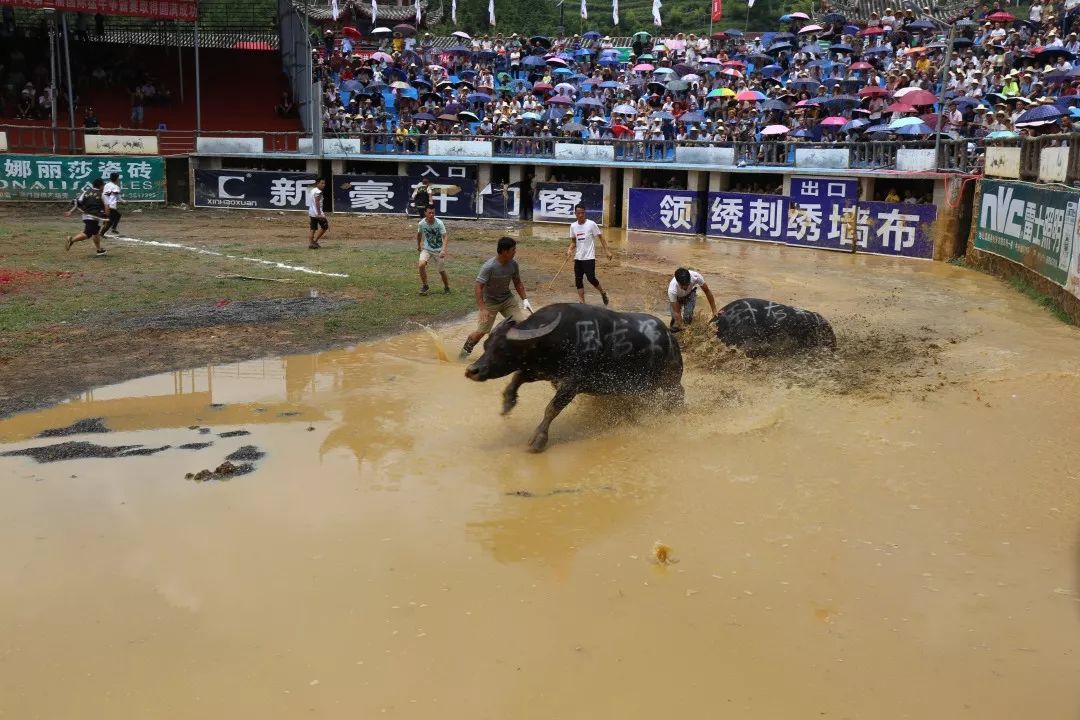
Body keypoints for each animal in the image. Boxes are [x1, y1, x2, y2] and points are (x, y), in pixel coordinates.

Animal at [464, 302, 682, 451]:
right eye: (486, 345)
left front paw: (538, 439)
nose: (473, 370)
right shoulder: (543, 370)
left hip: (671, 383)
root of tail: (671, 339)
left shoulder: (572, 384)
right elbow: (517, 378)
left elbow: (551, 409)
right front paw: (508, 403)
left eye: (502, 348)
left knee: (677, 396)